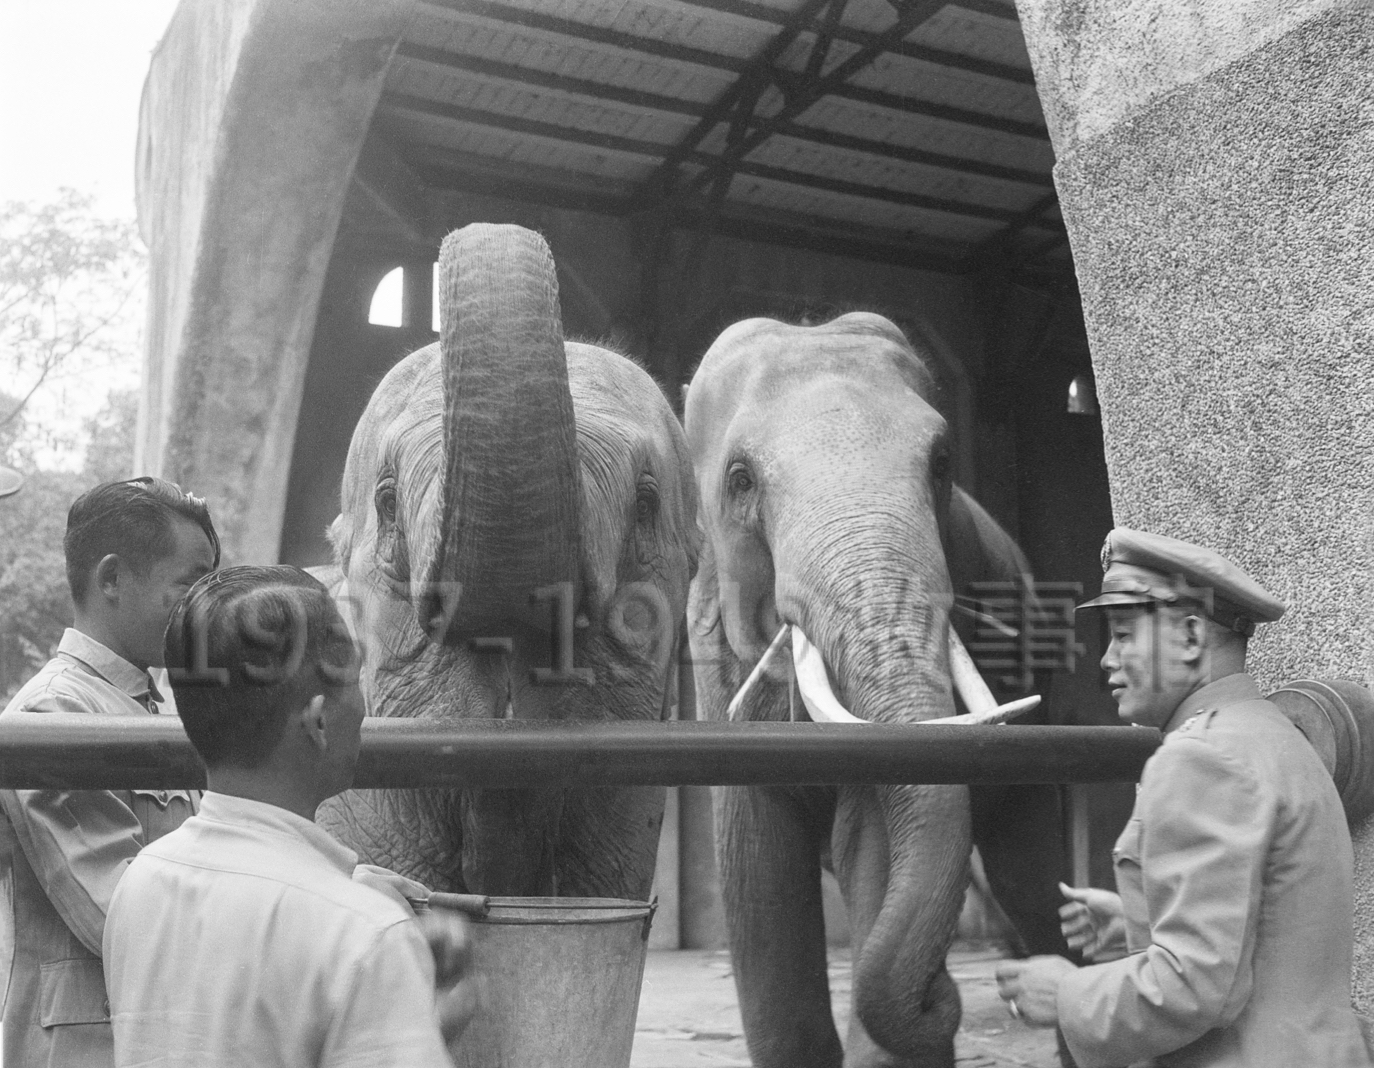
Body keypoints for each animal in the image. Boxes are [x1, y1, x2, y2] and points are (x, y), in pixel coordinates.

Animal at [687, 310, 1071, 1066]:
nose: (941, 995)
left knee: (1030, 881)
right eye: (740, 480)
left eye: (942, 463)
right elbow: (759, 868)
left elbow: (872, 838)